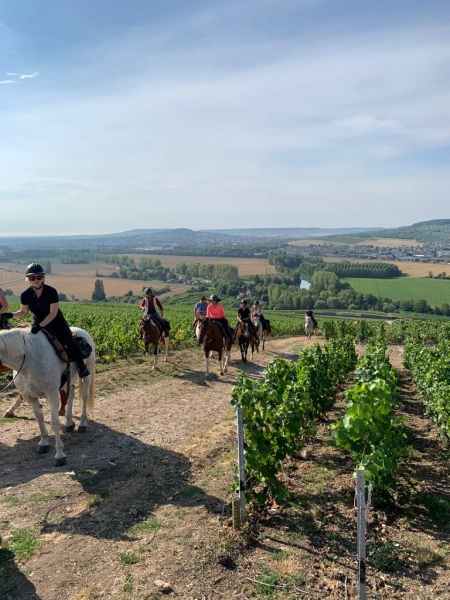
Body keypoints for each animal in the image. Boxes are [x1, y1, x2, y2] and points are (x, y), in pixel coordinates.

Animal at [0, 328, 95, 464]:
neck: (28, 361)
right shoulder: (30, 397)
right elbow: (39, 419)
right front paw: (43, 443)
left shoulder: (52, 395)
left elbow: (54, 422)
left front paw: (60, 455)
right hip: (67, 381)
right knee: (71, 392)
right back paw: (68, 422)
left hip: (87, 375)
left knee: (84, 397)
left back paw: (82, 424)